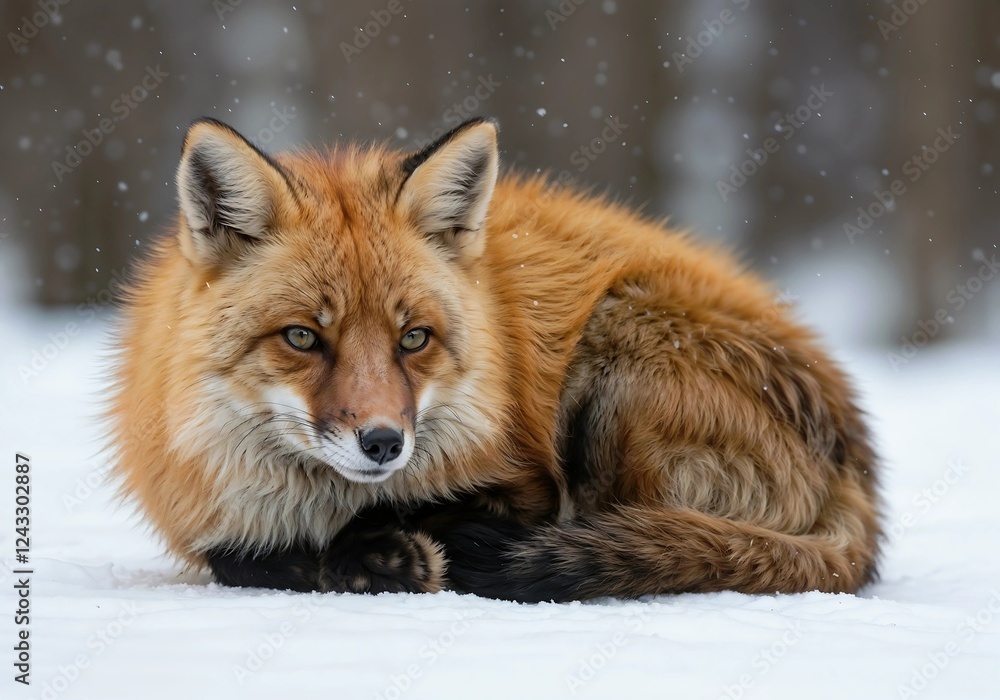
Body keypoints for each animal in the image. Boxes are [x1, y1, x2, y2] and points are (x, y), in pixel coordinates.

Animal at [108, 115, 881, 602]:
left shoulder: (524, 481)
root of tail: (856, 461)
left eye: (413, 338)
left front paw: (389, 550)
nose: (383, 442)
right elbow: (240, 557)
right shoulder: (205, 515)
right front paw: (362, 558)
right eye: (302, 338)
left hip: (613, 372)